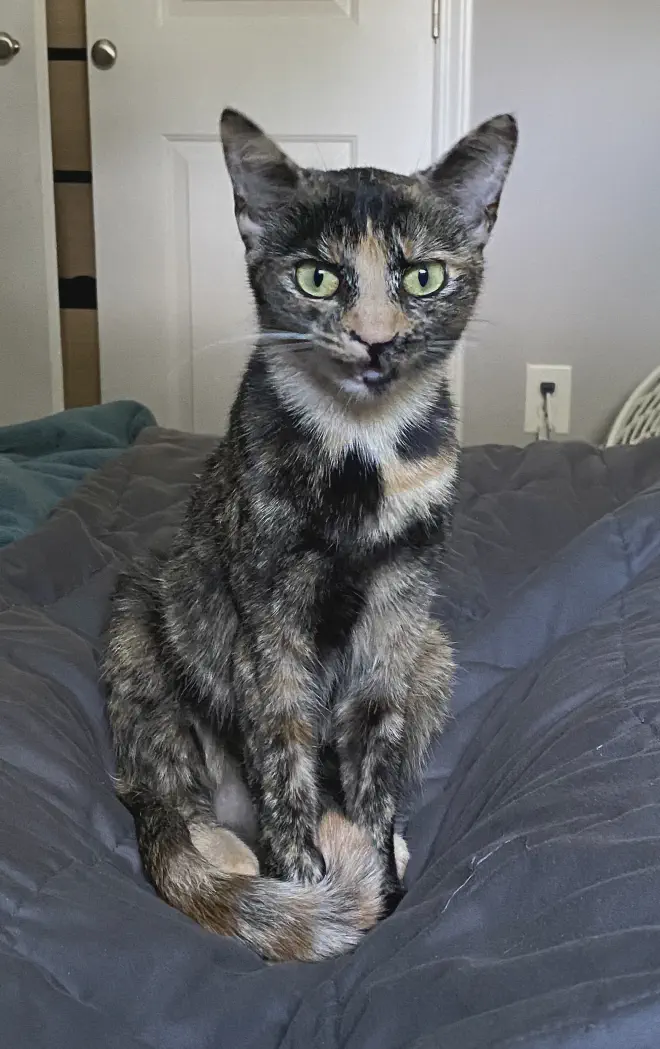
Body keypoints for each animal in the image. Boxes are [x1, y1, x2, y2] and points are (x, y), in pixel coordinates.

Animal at [101, 104, 514, 960]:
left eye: (423, 276)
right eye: (318, 276)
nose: (376, 337)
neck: (361, 451)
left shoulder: (400, 607)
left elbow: (375, 753)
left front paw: (374, 864)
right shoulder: (267, 610)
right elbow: (283, 748)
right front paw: (305, 879)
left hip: (434, 651)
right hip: (140, 612)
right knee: (158, 791)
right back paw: (227, 855)